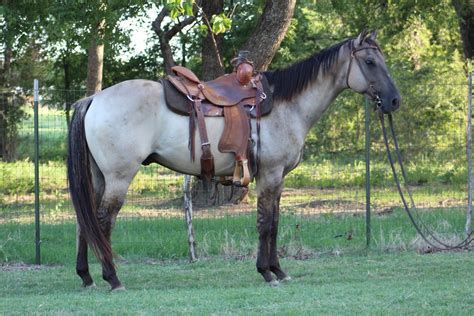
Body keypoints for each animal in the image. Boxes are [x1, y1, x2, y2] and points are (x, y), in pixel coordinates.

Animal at [67, 30, 400, 290]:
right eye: (370, 62)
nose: (394, 100)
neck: (286, 105)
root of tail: (93, 99)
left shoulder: (278, 179)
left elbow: (275, 222)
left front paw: (278, 269)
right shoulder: (270, 175)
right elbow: (265, 223)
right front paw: (267, 272)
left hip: (98, 177)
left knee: (85, 221)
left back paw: (86, 277)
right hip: (118, 178)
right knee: (103, 221)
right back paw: (112, 278)